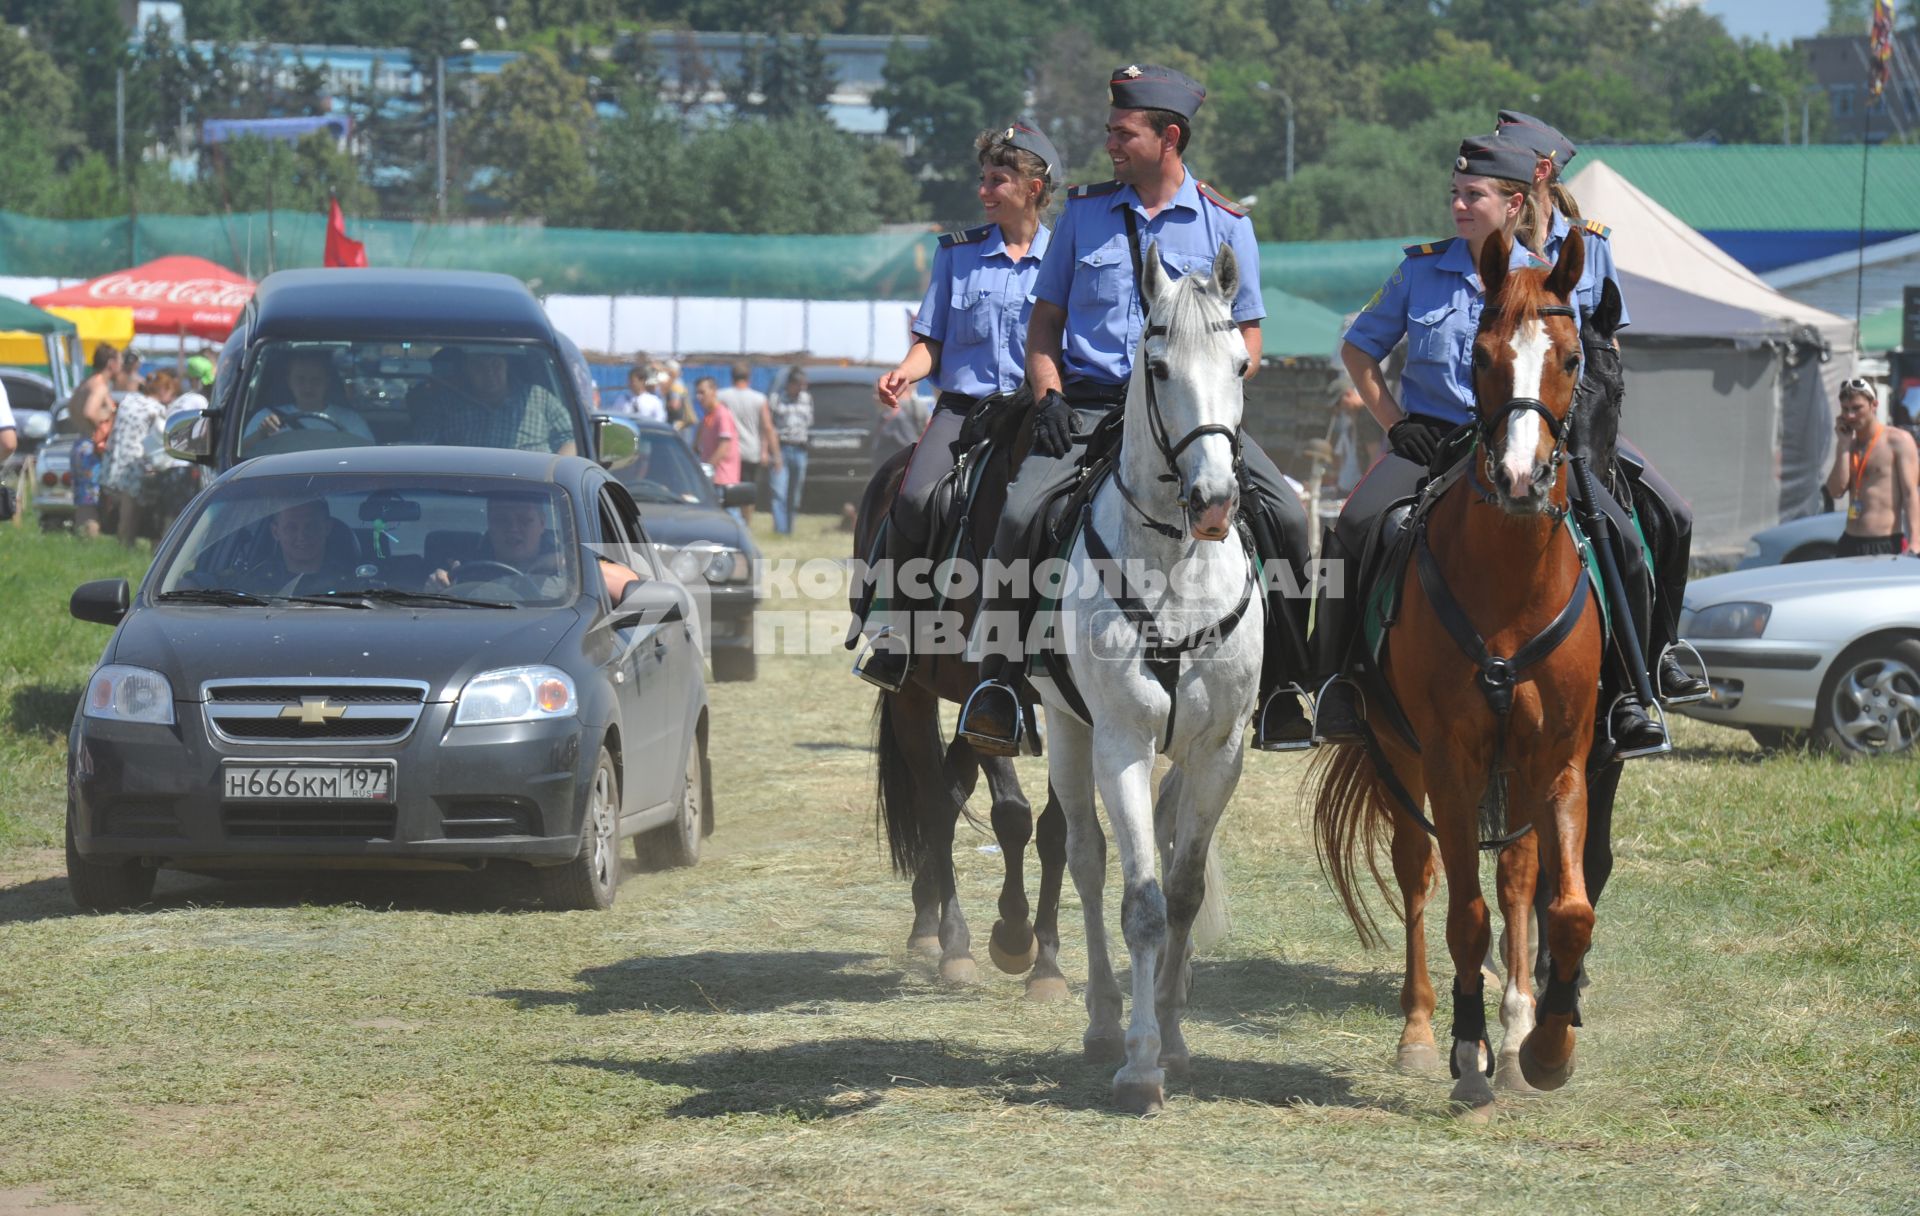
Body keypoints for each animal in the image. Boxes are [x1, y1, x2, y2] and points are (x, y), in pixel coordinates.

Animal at [852, 407, 1075, 998]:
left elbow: (1057, 827)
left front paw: (1045, 964)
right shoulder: (990, 704)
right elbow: (1013, 815)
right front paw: (1014, 936)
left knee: (952, 788)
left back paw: (927, 915)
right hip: (912, 696)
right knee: (936, 800)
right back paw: (949, 940)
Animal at [1029, 242, 1267, 1114]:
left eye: (1241, 365)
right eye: (1156, 365)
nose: (1215, 500)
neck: (1176, 564)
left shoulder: (1220, 750)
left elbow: (1186, 890)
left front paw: (1172, 1035)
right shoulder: (1122, 742)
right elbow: (1141, 902)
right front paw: (1138, 1061)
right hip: (1068, 734)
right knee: (1086, 855)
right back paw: (1101, 1021)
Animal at [1305, 227, 1605, 1106]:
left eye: (1571, 356)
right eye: (1480, 354)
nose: (1520, 478)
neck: (1508, 581)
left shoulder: (1559, 757)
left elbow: (1564, 908)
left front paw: (1545, 1048)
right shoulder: (1447, 755)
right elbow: (1462, 914)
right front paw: (1466, 1056)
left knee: (1516, 877)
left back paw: (1516, 1026)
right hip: (1400, 753)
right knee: (1419, 875)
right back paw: (1420, 1031)